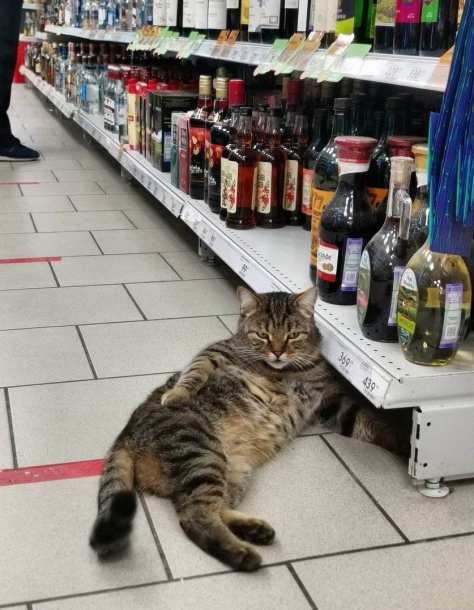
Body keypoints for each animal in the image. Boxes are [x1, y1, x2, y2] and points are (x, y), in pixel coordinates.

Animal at [90, 286, 410, 571]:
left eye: (293, 335)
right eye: (262, 335)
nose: (278, 352)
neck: (286, 371)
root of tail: (125, 435)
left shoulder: (331, 404)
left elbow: (370, 423)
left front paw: (408, 445)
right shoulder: (218, 350)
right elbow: (195, 370)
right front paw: (179, 393)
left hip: (233, 469)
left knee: (214, 506)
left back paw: (254, 530)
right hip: (200, 452)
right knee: (194, 514)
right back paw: (242, 554)